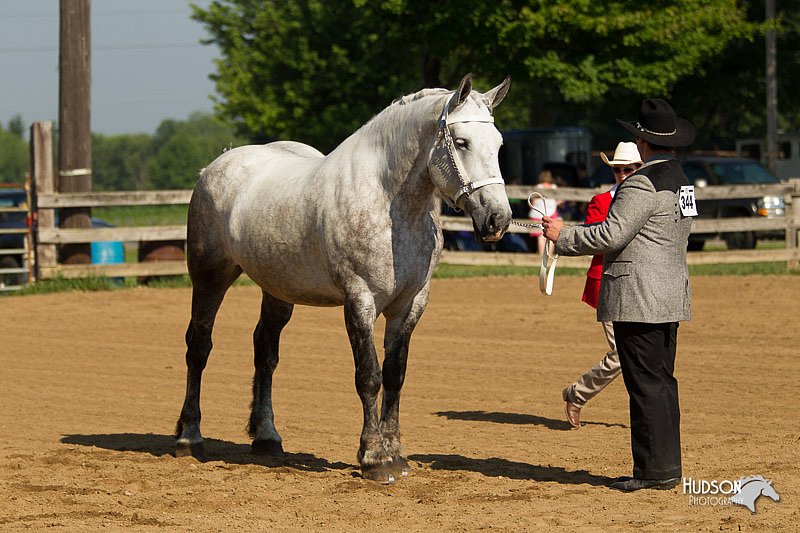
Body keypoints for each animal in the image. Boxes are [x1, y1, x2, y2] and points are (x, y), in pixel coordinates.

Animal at [175, 75, 512, 482]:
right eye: (462, 142)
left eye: (499, 145)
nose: (497, 219)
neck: (389, 205)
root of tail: (216, 165)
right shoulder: (360, 300)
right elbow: (369, 376)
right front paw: (375, 459)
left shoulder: (410, 303)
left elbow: (395, 375)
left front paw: (396, 453)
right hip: (210, 276)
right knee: (199, 347)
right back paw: (189, 438)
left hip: (277, 289)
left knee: (265, 351)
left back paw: (267, 438)